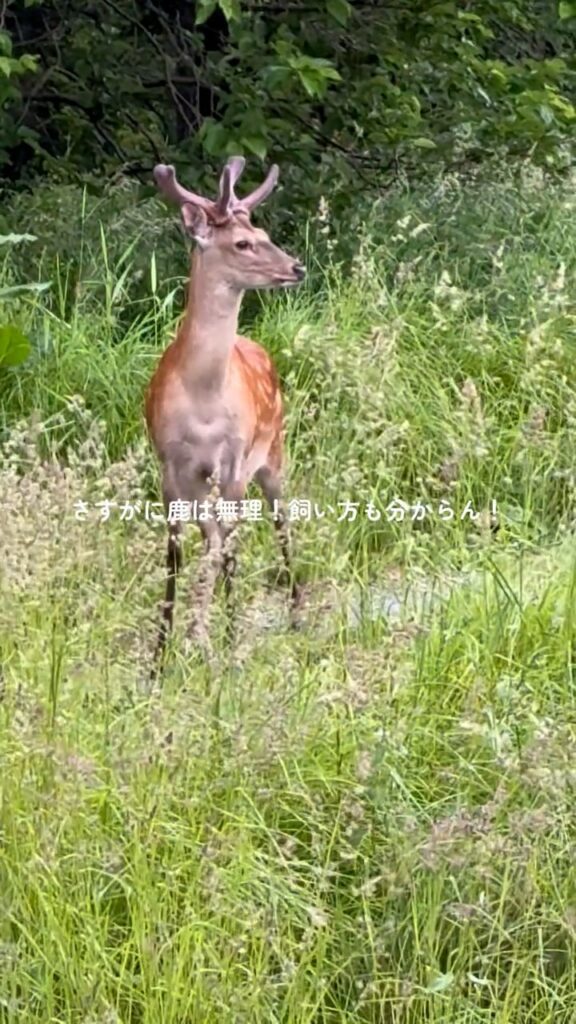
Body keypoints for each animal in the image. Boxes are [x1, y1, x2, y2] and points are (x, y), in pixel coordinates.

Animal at [145, 155, 306, 676]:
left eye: (263, 230)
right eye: (242, 242)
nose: (296, 266)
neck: (203, 399)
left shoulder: (235, 459)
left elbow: (231, 547)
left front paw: (230, 644)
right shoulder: (170, 465)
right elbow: (176, 554)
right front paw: (160, 655)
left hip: (273, 455)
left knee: (278, 525)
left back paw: (296, 614)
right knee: (214, 535)